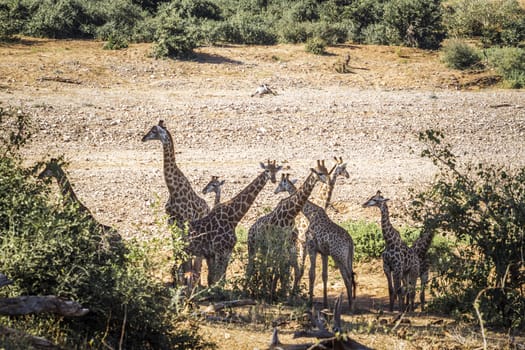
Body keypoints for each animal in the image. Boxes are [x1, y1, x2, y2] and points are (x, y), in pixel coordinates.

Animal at [246, 161, 328, 296]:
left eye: (326, 171)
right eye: (319, 172)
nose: (327, 180)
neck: (290, 214)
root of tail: (250, 230)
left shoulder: (290, 243)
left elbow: (287, 268)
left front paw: (285, 292)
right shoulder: (279, 243)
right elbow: (280, 267)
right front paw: (277, 292)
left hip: (264, 247)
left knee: (265, 265)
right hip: (252, 245)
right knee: (252, 266)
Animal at [272, 174, 354, 310]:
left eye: (280, 184)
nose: (275, 191)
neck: (310, 214)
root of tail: (351, 242)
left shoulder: (311, 247)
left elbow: (310, 273)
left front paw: (309, 302)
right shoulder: (323, 253)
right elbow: (323, 275)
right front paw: (325, 303)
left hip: (339, 257)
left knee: (348, 277)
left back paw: (351, 306)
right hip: (347, 258)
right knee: (350, 276)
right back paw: (351, 303)